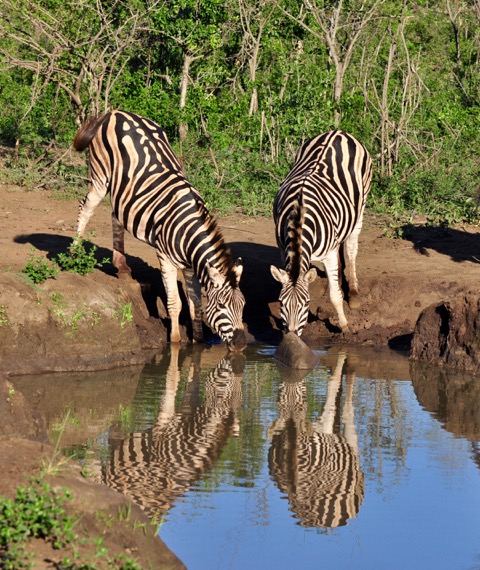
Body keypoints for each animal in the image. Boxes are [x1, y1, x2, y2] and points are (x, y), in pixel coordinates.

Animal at [71, 108, 248, 348]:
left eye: (243, 305)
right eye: (221, 306)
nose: (241, 344)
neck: (188, 232)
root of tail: (116, 112)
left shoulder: (190, 266)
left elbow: (195, 304)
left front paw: (198, 340)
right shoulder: (165, 258)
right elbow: (175, 302)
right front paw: (174, 341)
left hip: (122, 189)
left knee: (116, 215)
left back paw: (122, 266)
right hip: (100, 176)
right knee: (85, 207)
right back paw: (74, 252)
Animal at [270, 129, 372, 332]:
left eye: (306, 304)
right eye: (282, 303)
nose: (291, 334)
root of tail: (338, 132)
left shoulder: (329, 253)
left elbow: (335, 296)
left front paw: (344, 326)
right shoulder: (282, 249)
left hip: (361, 206)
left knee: (351, 249)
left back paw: (353, 294)